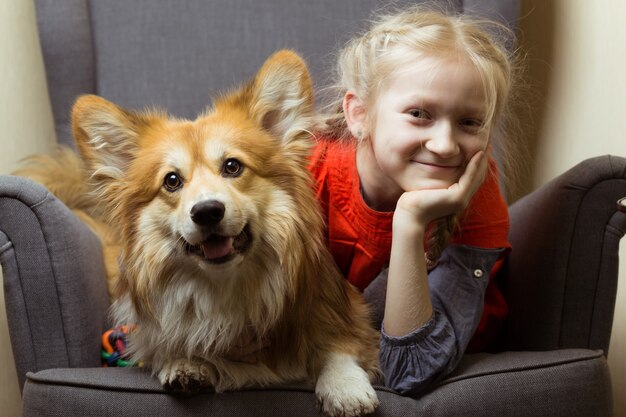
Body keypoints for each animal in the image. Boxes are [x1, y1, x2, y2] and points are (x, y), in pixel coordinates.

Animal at [22, 50, 378, 414]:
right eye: (172, 181)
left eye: (233, 166)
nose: (206, 212)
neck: (226, 288)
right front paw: (186, 364)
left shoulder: (348, 316)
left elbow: (337, 347)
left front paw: (344, 387)